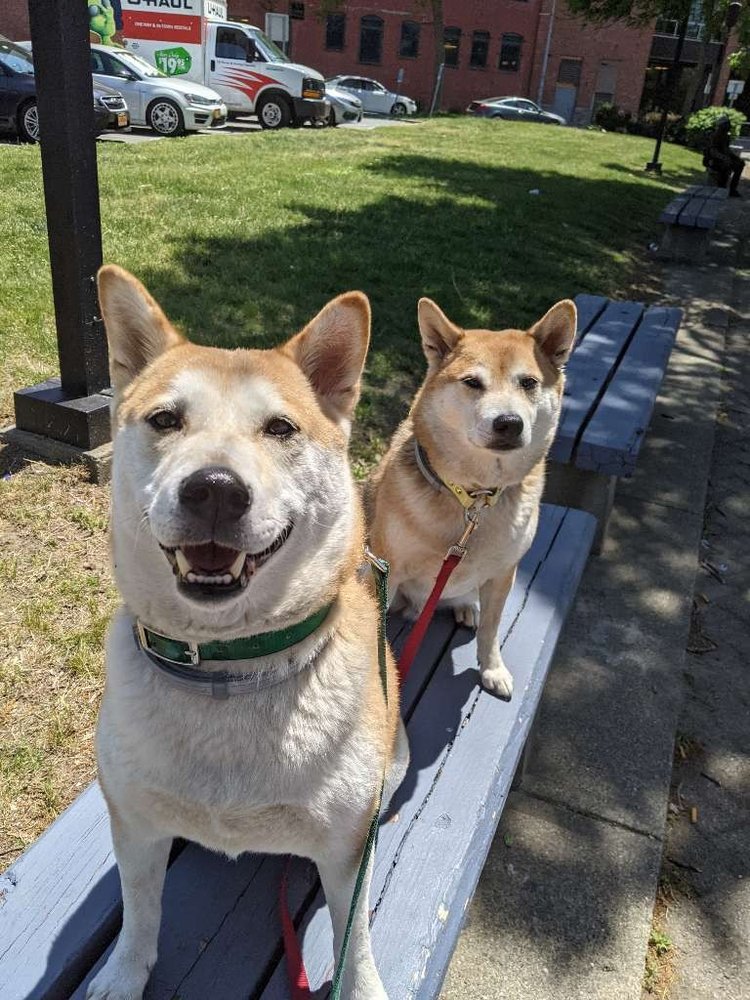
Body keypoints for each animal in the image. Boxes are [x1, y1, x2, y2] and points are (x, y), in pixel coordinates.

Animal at [88, 264, 412, 1000]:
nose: (214, 488)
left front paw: (364, 985)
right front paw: (124, 975)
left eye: (280, 427)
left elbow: (355, 940)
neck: (228, 669)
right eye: (166, 419)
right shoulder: (134, 823)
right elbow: (140, 913)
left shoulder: (347, 849)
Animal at [368, 300, 580, 700]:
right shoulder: (388, 570)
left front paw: (492, 669)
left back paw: (466, 608)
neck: (473, 498)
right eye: (472, 383)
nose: (509, 422)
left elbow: (492, 632)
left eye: (528, 383)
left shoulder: (502, 574)